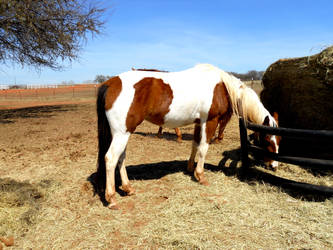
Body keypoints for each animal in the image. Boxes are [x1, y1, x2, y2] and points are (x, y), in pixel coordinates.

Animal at [97, 63, 278, 208]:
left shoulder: (199, 122)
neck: (222, 87)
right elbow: (203, 148)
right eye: (267, 140)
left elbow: (195, 144)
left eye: (279, 140)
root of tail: (110, 83)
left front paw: (191, 168)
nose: (274, 165)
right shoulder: (210, 121)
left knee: (121, 158)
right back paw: (111, 198)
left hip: (123, 133)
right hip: (122, 133)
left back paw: (128, 188)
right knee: (111, 159)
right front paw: (201, 176)